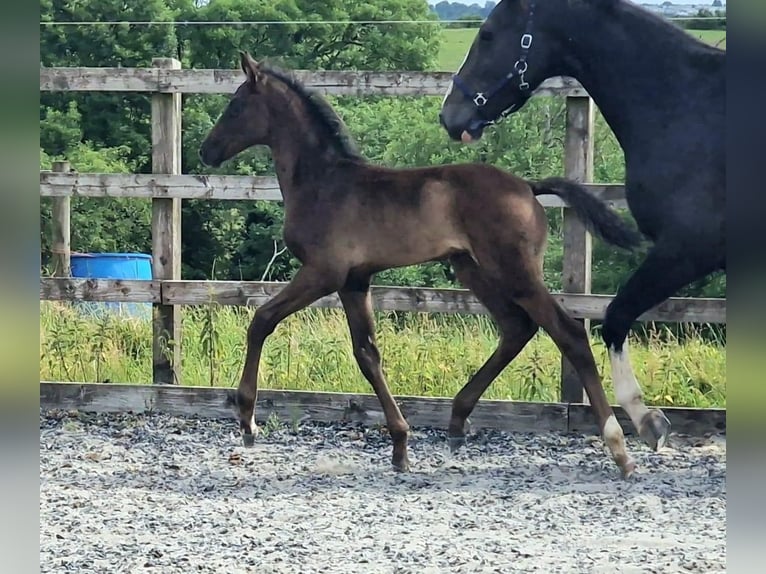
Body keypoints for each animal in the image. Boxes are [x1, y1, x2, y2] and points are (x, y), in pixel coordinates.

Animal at [198, 51, 640, 480]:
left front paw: (248, 420)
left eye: (236, 106)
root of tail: (528, 187)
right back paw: (458, 421)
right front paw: (400, 446)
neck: (322, 182)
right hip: (472, 268)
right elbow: (367, 353)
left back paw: (619, 448)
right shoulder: (355, 280)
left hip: (513, 271)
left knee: (568, 333)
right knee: (517, 327)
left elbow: (262, 320)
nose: (206, 150)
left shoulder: (323, 273)